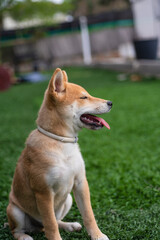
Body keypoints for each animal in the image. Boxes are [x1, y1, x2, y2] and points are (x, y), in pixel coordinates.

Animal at [6, 68, 112, 240]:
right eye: (84, 97)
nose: (110, 103)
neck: (62, 143)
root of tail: (36, 227)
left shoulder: (81, 183)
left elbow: (88, 215)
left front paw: (97, 235)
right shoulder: (43, 192)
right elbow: (50, 224)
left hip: (67, 199)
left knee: (55, 221)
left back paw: (70, 225)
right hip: (15, 210)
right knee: (19, 229)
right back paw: (24, 236)